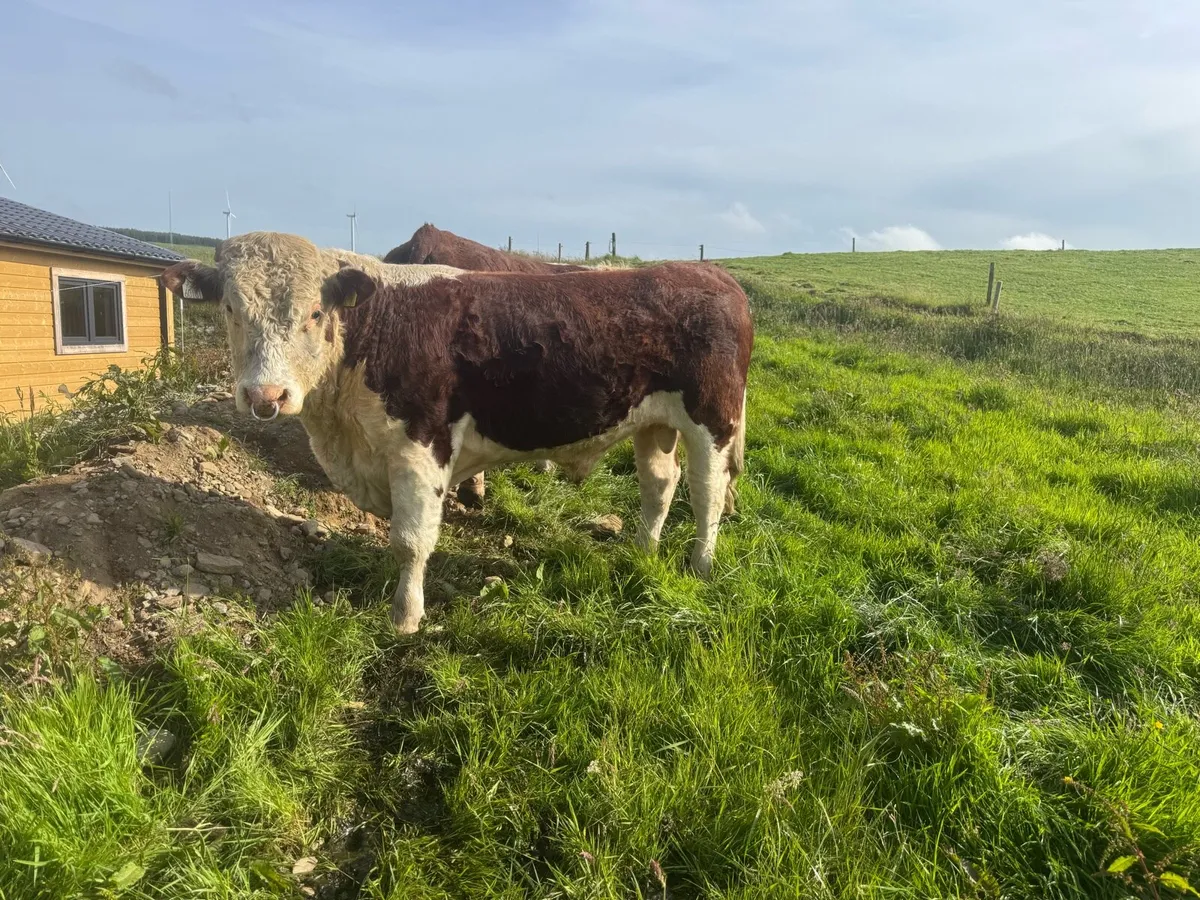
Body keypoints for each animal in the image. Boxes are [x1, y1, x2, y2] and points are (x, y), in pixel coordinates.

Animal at [160, 232, 752, 635]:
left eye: (313, 312)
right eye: (231, 309)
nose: (267, 396)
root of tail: (715, 276)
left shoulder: (421, 447)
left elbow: (411, 541)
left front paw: (405, 616)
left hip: (713, 420)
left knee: (707, 493)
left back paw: (700, 566)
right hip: (654, 422)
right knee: (660, 485)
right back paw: (645, 552)